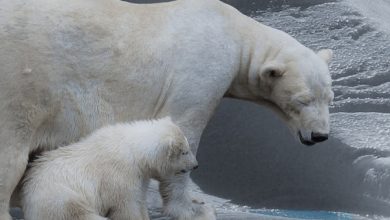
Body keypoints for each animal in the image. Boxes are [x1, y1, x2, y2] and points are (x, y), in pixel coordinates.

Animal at [21, 117, 198, 220]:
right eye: (184, 151)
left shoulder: (139, 176)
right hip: (59, 197)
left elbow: (139, 200)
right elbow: (126, 206)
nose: (196, 165)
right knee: (79, 213)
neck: (133, 150)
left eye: (187, 147)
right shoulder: (119, 175)